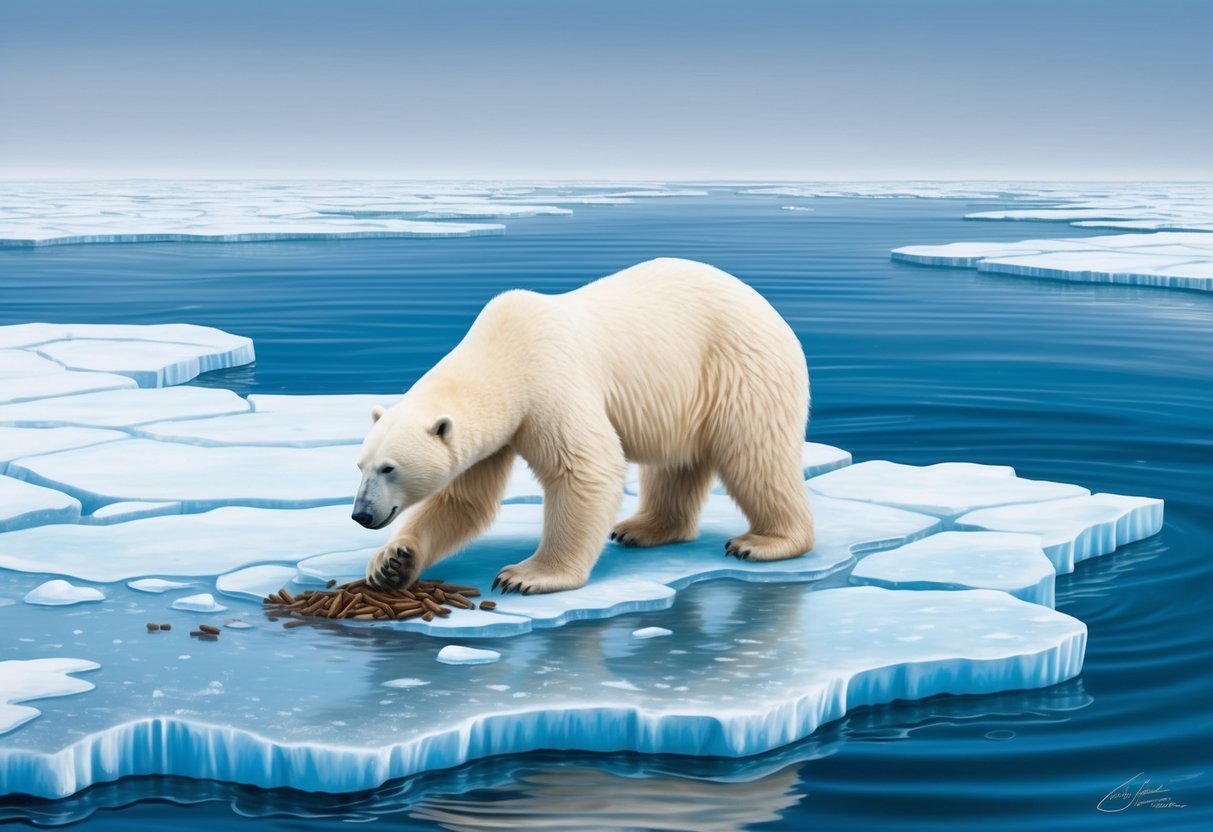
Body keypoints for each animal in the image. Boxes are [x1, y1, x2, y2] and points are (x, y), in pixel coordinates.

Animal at [351, 259, 815, 594]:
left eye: (389, 468)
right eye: (361, 466)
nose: (361, 514)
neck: (503, 351)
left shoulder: (549, 383)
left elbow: (585, 468)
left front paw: (526, 575)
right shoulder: (496, 434)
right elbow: (463, 501)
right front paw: (391, 562)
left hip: (739, 368)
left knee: (754, 454)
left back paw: (764, 542)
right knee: (674, 464)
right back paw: (643, 528)